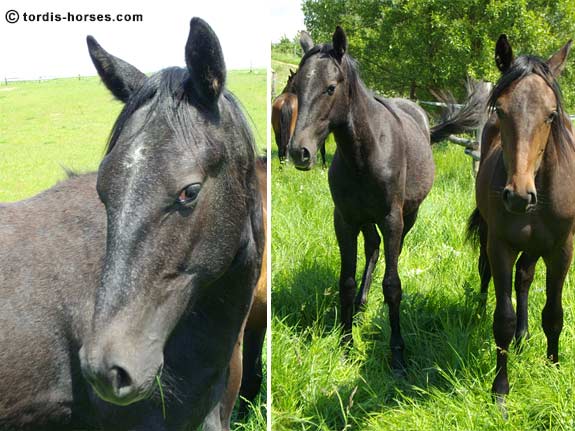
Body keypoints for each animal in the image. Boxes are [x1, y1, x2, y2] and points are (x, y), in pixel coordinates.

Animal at [290, 26, 484, 374]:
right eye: (296, 86)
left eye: (330, 88)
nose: (300, 151)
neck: (364, 154)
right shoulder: (345, 220)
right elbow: (346, 280)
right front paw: (345, 342)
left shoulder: (392, 219)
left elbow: (393, 285)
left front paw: (397, 356)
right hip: (366, 219)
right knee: (373, 248)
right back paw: (361, 304)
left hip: (408, 216)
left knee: (389, 251)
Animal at [468, 35, 575, 410]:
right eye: (500, 110)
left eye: (551, 114)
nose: (517, 196)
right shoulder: (500, 246)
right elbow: (502, 319)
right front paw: (500, 391)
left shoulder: (562, 250)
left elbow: (554, 315)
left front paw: (554, 370)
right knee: (489, 274)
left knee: (525, 278)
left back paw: (523, 336)